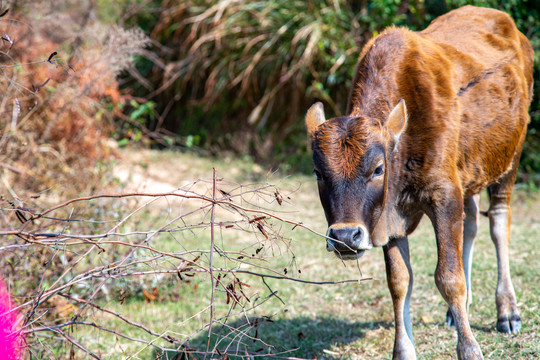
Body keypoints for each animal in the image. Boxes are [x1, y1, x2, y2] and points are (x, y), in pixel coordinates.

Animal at [306, 5, 532, 360]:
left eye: (378, 169)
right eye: (318, 172)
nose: (344, 237)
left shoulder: (444, 196)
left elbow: (449, 278)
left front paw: (470, 349)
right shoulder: (390, 219)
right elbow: (399, 283)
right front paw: (404, 350)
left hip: (509, 160)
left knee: (498, 223)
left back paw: (507, 311)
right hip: (470, 174)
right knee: (472, 223)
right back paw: (459, 312)